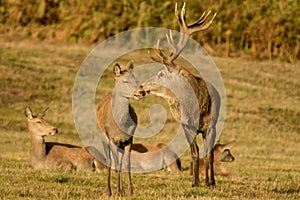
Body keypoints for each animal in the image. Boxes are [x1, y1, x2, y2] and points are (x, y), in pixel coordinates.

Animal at [96, 60, 146, 195]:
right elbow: (116, 164)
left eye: (136, 80)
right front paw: (118, 192)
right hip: (103, 138)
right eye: (125, 81)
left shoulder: (129, 139)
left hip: (121, 145)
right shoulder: (112, 139)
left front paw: (130, 191)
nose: (142, 92)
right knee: (109, 160)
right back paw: (108, 190)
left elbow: (126, 164)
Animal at [143, 2, 218, 187]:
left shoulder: (211, 125)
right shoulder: (186, 125)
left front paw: (211, 182)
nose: (142, 85)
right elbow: (194, 152)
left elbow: (210, 155)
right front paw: (195, 182)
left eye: (161, 74)